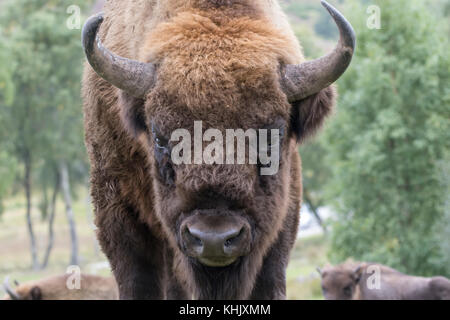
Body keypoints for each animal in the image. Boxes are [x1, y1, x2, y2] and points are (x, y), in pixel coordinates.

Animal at [81, 0, 356, 300]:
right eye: (159, 138)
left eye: (273, 135)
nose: (213, 239)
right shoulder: (119, 211)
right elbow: (138, 278)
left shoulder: (284, 214)